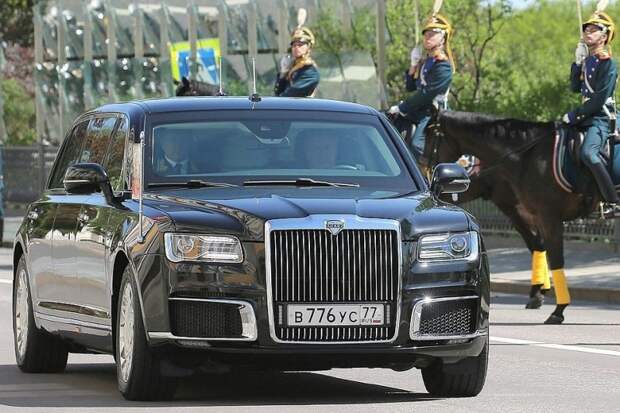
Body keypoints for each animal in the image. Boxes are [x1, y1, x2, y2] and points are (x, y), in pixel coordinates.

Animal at [422, 111, 604, 324]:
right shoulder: (534, 212)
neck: (528, 155)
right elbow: (542, 249)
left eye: (429, 135)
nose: (426, 171)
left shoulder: (547, 215)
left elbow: (555, 257)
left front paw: (558, 309)